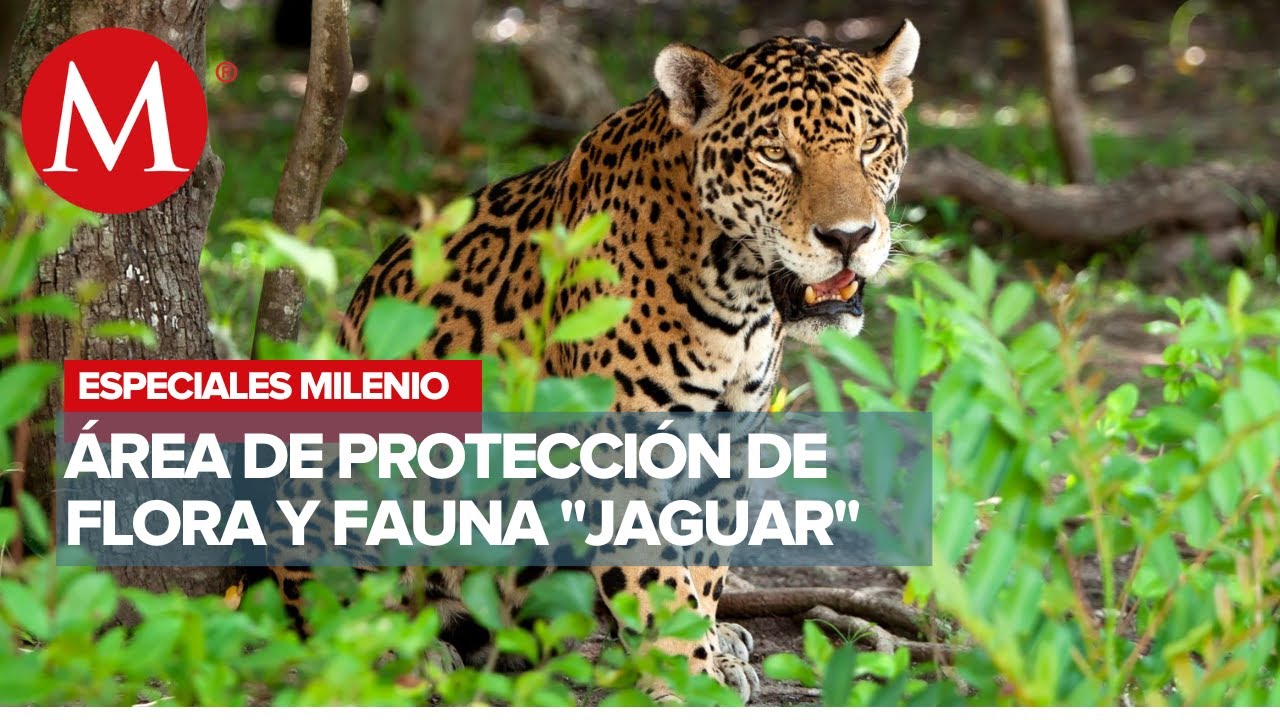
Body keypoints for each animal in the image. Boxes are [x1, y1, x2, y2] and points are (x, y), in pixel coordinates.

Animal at [271, 21, 919, 703]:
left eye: (873, 145)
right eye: (774, 154)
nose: (849, 237)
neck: (738, 293)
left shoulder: (727, 450)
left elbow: (703, 567)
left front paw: (713, 652)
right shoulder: (621, 461)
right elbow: (660, 582)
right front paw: (690, 679)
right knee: (330, 614)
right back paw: (411, 655)